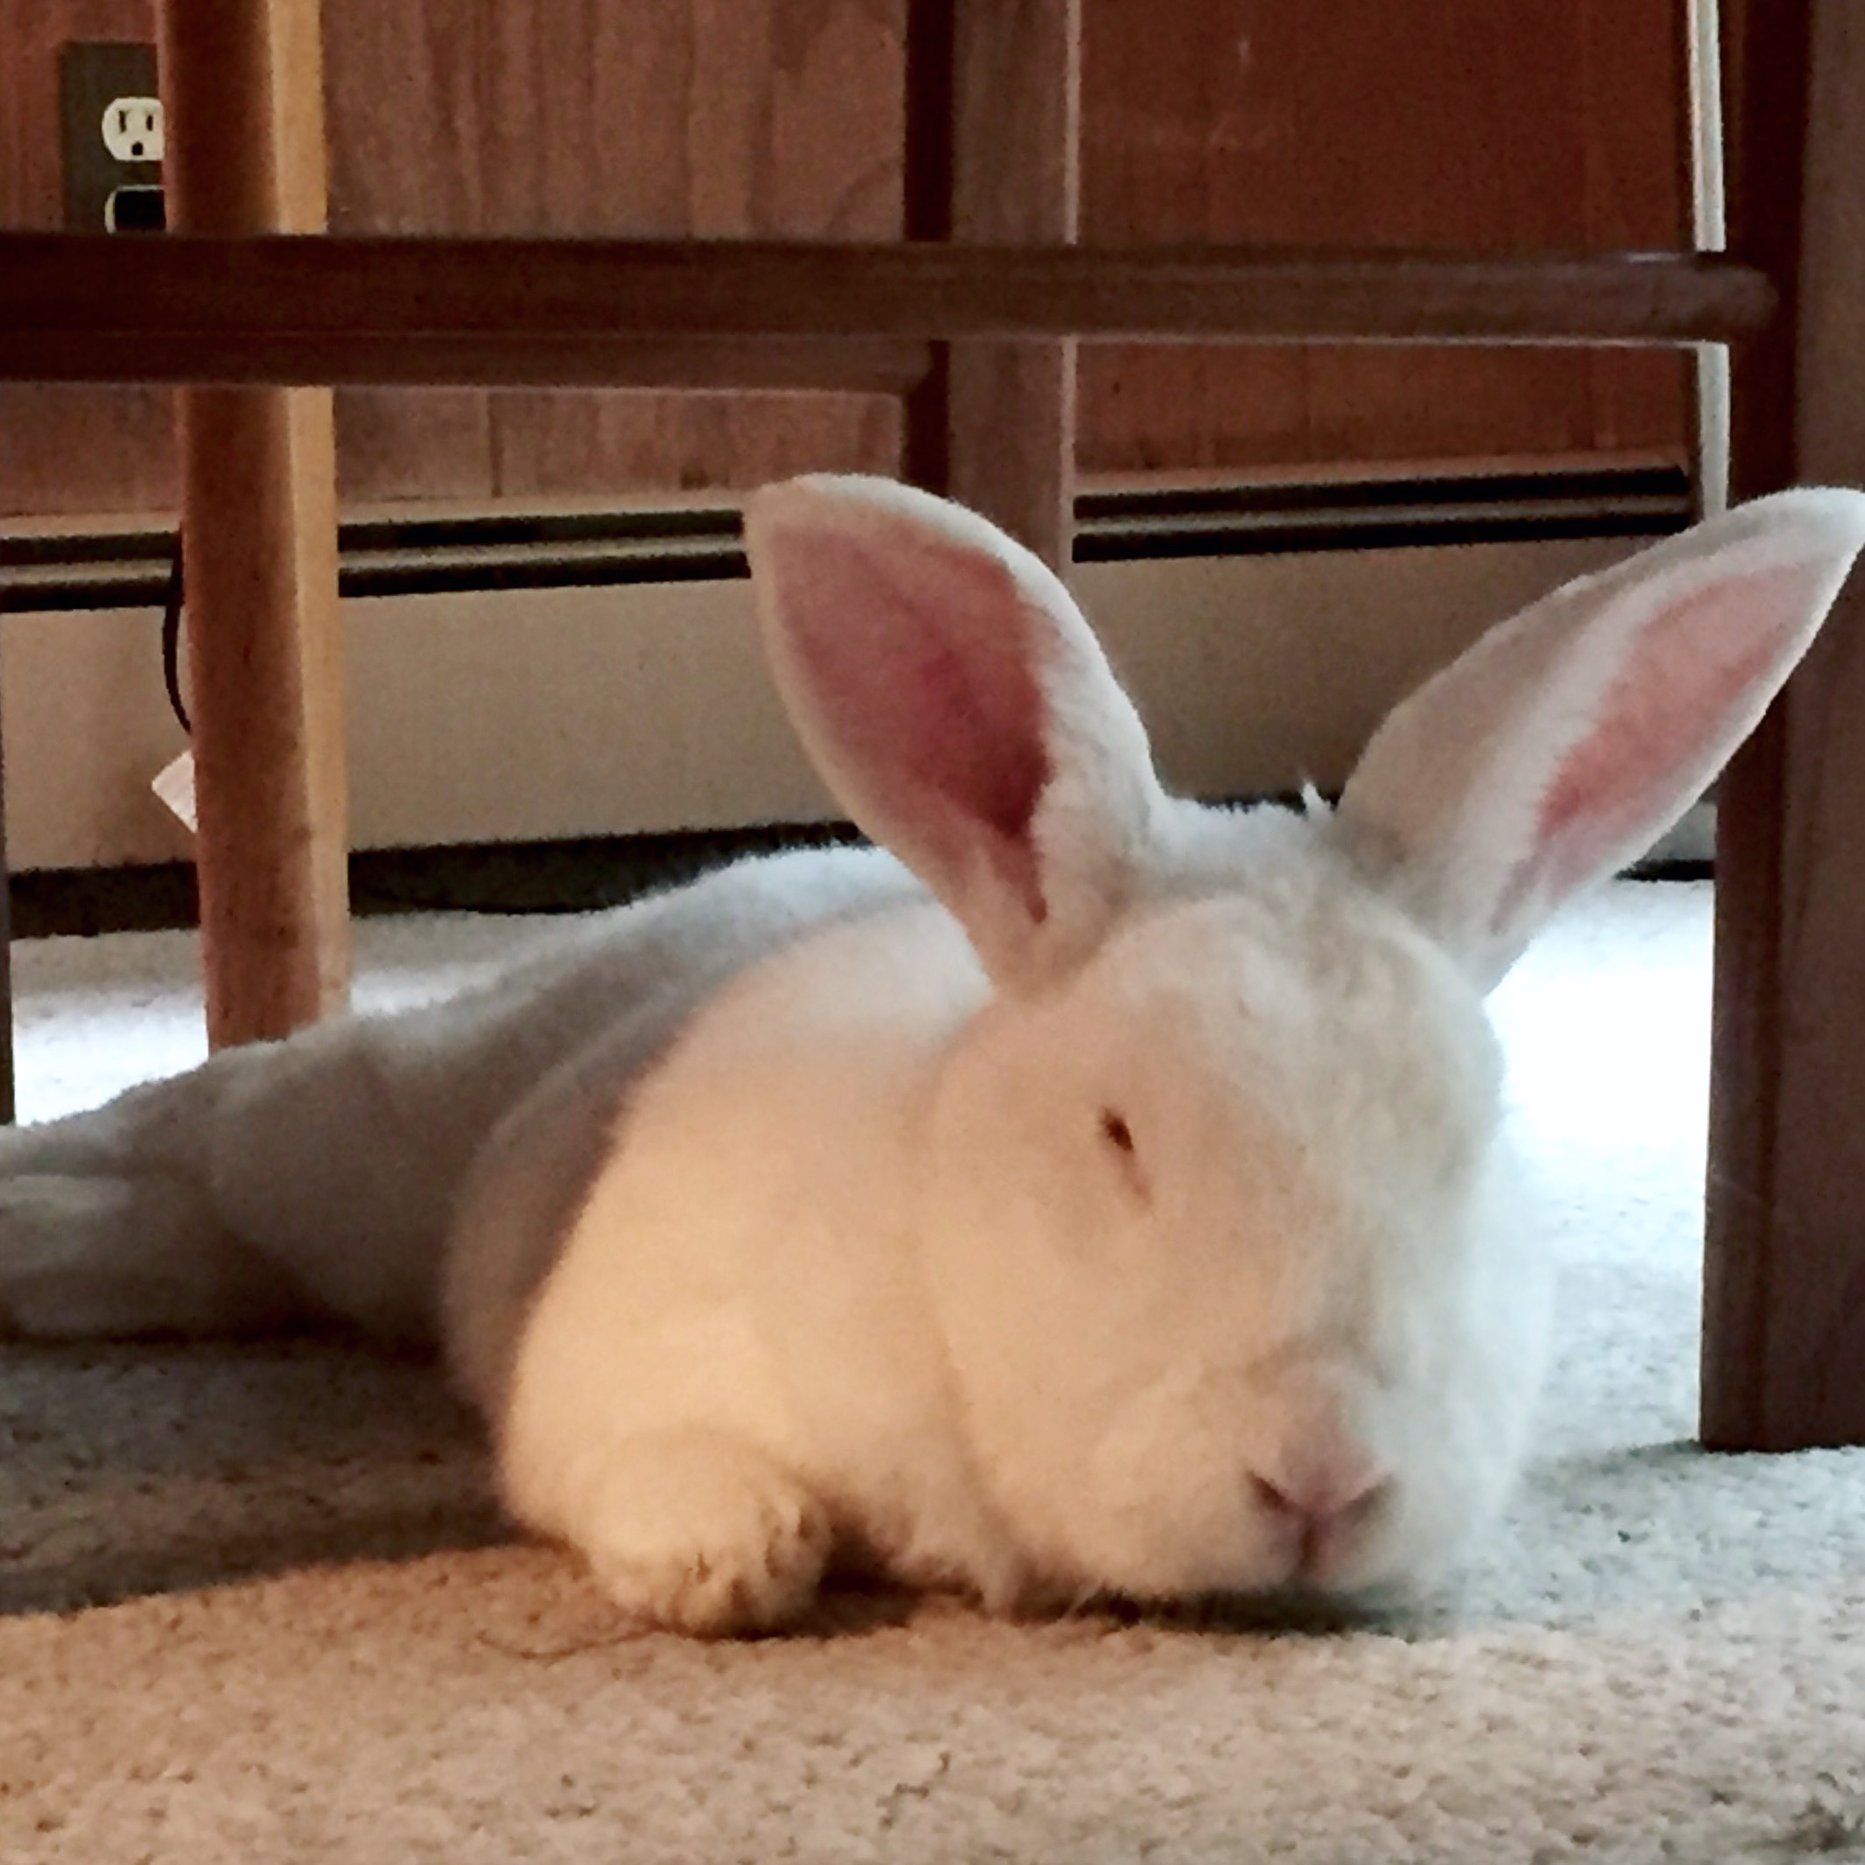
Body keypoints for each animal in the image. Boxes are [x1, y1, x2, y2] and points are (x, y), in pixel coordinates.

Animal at [2, 474, 1861, 1637]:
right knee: (206, 1128)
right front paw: (731, 1554)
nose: (1325, 1478)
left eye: (1472, 1142)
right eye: (1119, 1137)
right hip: (374, 1141)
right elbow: (640, 1454)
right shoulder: (619, 1355)